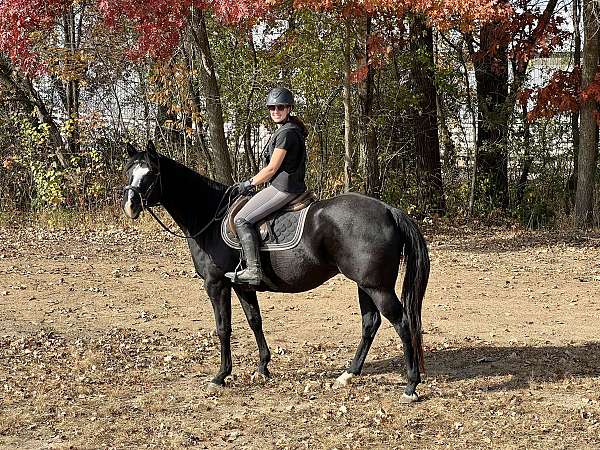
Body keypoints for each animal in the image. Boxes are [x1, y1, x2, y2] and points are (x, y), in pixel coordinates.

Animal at [123, 141, 432, 400]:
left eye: (151, 174)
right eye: (130, 172)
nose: (130, 206)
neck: (210, 216)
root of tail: (389, 210)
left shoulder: (216, 284)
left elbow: (223, 328)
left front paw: (220, 376)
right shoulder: (242, 285)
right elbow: (254, 321)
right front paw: (262, 368)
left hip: (377, 286)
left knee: (402, 323)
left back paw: (410, 385)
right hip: (364, 284)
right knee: (371, 323)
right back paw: (348, 374)